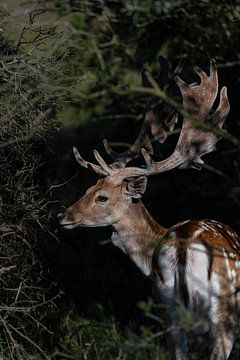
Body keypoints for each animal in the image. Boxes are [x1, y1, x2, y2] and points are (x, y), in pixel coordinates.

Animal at [58, 60, 240, 358]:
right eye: (87, 190)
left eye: (101, 197)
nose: (63, 215)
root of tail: (182, 248)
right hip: (222, 312)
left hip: (169, 306)